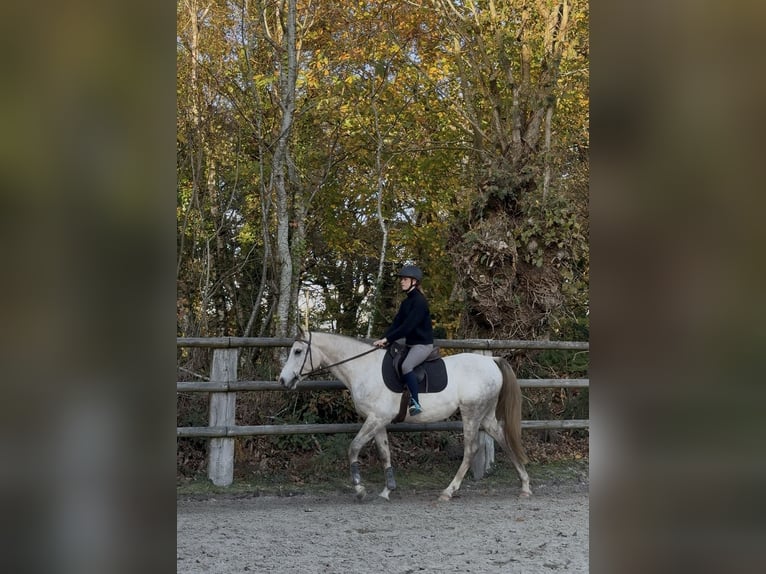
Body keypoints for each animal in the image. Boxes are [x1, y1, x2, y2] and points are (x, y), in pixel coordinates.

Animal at [277, 329, 532, 502]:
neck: (363, 368)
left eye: (298, 351)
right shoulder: (378, 420)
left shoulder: (376, 419)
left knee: (470, 450)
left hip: (472, 413)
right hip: (485, 417)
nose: (283, 380)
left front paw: (359, 489)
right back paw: (525, 486)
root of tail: (491, 360)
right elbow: (384, 453)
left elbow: (353, 447)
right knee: (504, 440)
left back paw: (448, 491)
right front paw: (387, 490)